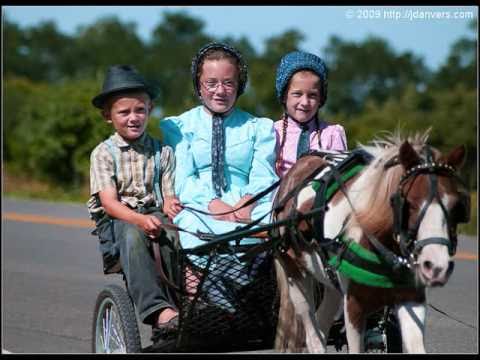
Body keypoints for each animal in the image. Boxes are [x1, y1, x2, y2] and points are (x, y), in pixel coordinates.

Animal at [272, 130, 470, 352]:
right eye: (408, 203)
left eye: (456, 206)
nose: (436, 266)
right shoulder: (354, 304)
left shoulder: (411, 296)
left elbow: (416, 345)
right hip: (295, 273)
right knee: (312, 332)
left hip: (330, 281)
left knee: (322, 324)